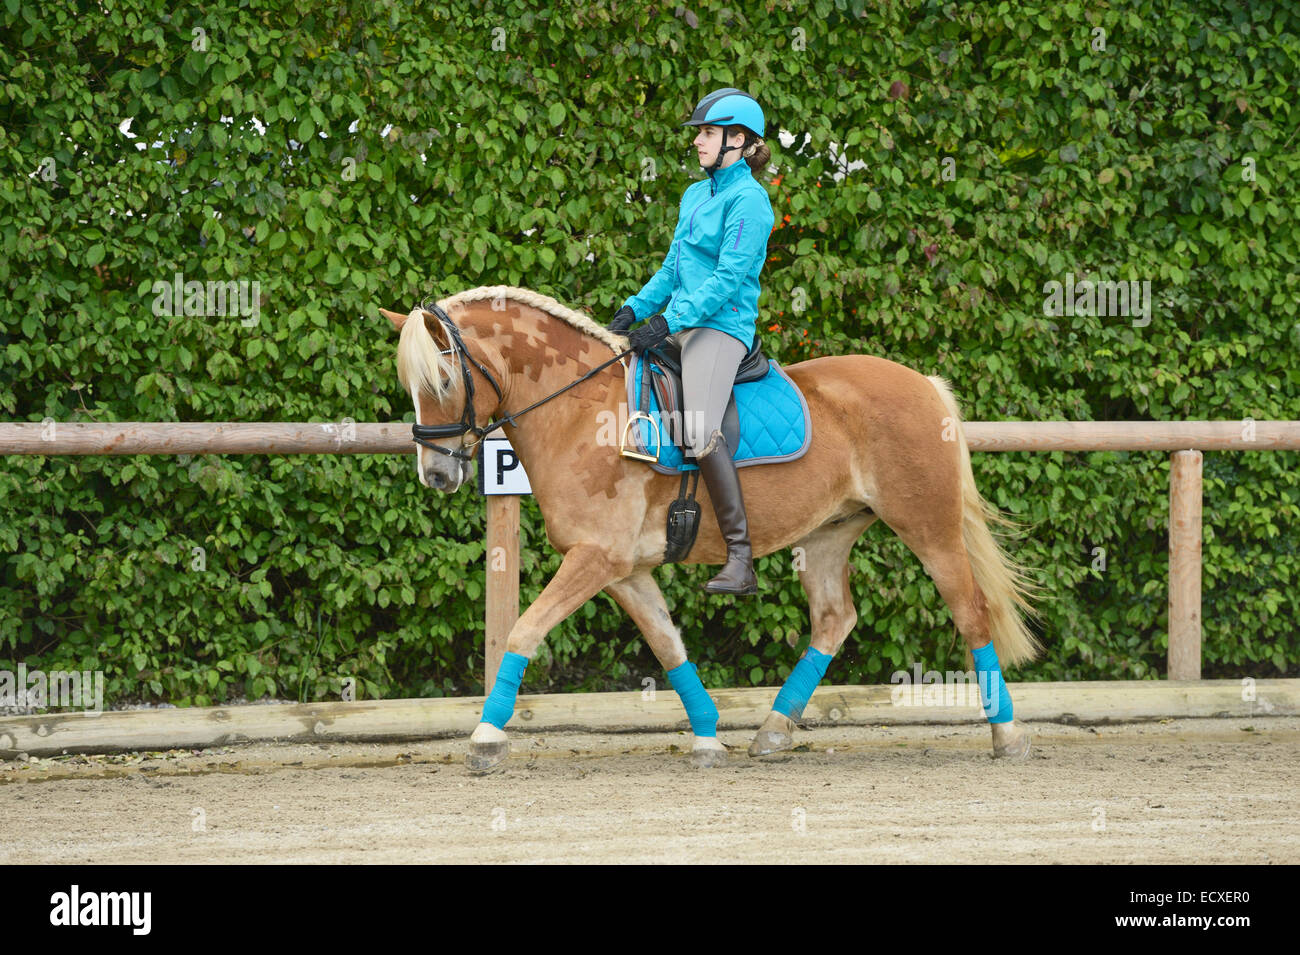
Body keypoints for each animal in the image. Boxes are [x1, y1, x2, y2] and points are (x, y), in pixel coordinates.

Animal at [379, 286, 1043, 773]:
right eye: (410, 386)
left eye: (442, 382)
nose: (437, 474)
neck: (580, 414)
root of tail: (922, 383)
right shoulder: (623, 570)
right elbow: (669, 648)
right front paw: (706, 740)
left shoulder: (595, 559)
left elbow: (523, 631)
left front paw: (486, 737)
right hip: (827, 535)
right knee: (835, 619)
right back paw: (773, 731)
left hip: (928, 527)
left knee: (971, 611)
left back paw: (1007, 735)